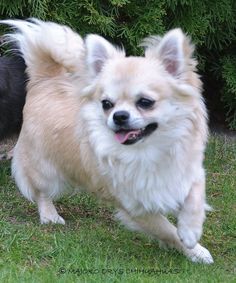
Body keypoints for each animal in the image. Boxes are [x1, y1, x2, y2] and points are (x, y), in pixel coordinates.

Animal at [0, 18, 214, 266]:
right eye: (106, 104)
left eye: (145, 102)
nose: (119, 116)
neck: (148, 150)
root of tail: (46, 80)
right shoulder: (135, 206)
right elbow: (167, 230)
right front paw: (189, 245)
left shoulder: (188, 172)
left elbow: (195, 198)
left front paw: (192, 234)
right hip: (44, 168)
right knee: (41, 191)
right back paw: (50, 215)